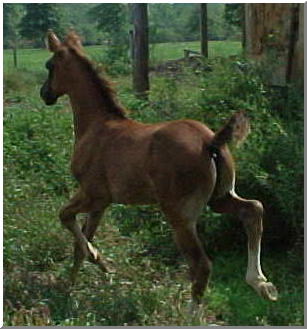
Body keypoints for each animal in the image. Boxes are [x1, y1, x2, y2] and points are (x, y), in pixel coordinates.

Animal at [39, 30, 278, 302]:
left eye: (49, 65)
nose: (44, 93)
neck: (97, 125)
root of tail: (211, 142)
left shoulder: (92, 194)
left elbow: (65, 216)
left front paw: (98, 260)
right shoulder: (101, 203)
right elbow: (80, 242)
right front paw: (70, 288)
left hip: (180, 215)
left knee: (201, 266)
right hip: (220, 198)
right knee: (253, 210)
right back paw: (261, 283)